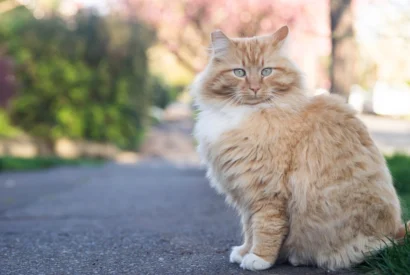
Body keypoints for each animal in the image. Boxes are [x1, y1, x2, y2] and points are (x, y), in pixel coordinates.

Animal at [192, 25, 406, 272]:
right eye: (239, 72)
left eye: (266, 71)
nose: (255, 88)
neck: (247, 115)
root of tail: (398, 232)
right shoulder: (246, 193)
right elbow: (249, 228)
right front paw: (245, 251)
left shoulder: (267, 192)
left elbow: (265, 228)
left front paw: (259, 258)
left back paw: (298, 257)